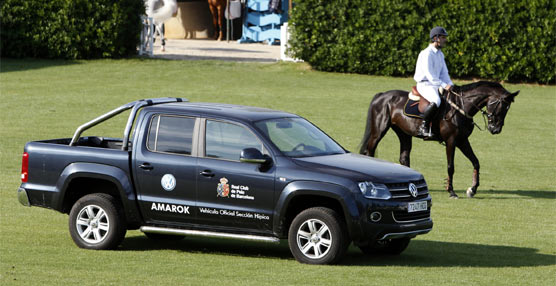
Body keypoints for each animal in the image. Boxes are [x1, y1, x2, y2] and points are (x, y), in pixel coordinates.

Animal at [358, 80, 520, 197]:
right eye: (502, 107)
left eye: (507, 109)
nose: (495, 129)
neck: (462, 107)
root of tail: (382, 95)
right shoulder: (451, 141)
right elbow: (450, 166)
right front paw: (451, 191)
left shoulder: (462, 141)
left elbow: (476, 162)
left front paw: (472, 189)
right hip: (379, 131)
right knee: (369, 151)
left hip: (404, 134)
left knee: (404, 158)